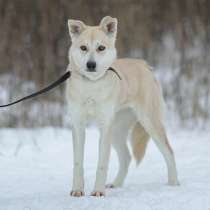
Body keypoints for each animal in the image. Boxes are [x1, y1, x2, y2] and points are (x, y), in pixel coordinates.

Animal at [65, 15, 179, 196]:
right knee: (127, 157)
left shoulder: (105, 127)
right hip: (117, 132)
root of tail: (143, 64)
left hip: (150, 124)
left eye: (101, 48)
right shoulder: (78, 125)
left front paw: (98, 192)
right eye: (83, 47)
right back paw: (116, 184)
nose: (91, 65)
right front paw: (77, 190)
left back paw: (173, 184)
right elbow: (78, 163)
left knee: (169, 152)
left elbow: (102, 164)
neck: (92, 86)